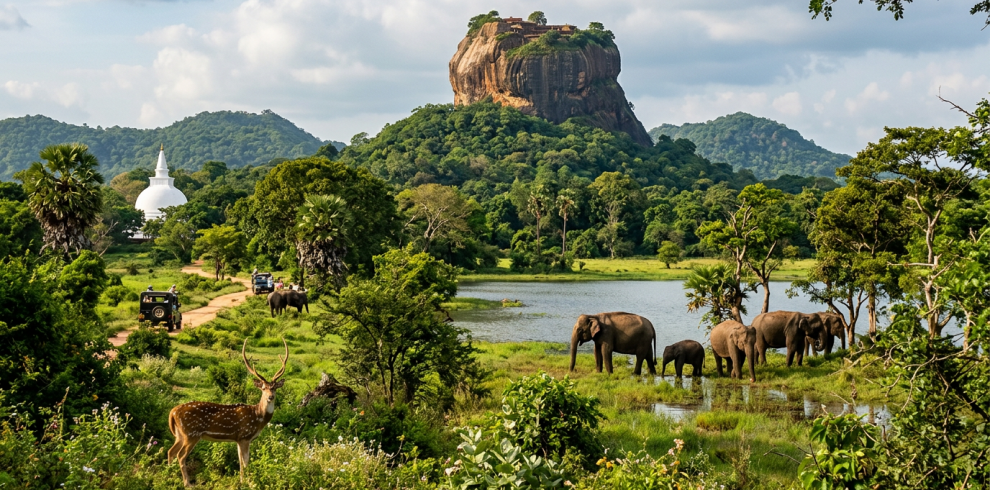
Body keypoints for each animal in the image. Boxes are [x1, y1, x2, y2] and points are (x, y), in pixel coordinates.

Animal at [167, 339, 288, 487]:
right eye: (263, 388)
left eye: (275, 388)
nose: (270, 397)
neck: (258, 417)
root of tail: (172, 412)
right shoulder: (244, 436)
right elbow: (246, 462)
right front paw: (249, 482)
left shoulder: (238, 439)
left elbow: (240, 461)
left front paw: (241, 481)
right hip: (191, 433)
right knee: (180, 455)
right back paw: (187, 483)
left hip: (180, 434)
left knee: (171, 451)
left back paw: (169, 476)